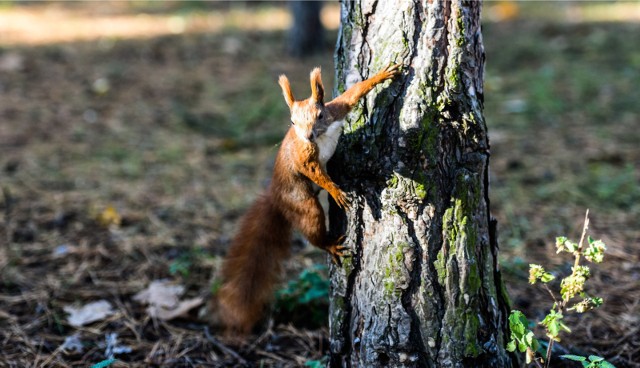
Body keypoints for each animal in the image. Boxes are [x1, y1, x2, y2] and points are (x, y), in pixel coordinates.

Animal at [218, 63, 402, 334]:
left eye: (320, 116)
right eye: (292, 121)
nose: (308, 136)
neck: (322, 136)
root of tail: (276, 196)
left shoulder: (338, 108)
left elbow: (355, 92)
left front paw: (382, 75)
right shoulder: (305, 158)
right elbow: (316, 173)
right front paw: (335, 191)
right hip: (304, 205)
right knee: (313, 229)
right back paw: (329, 244)